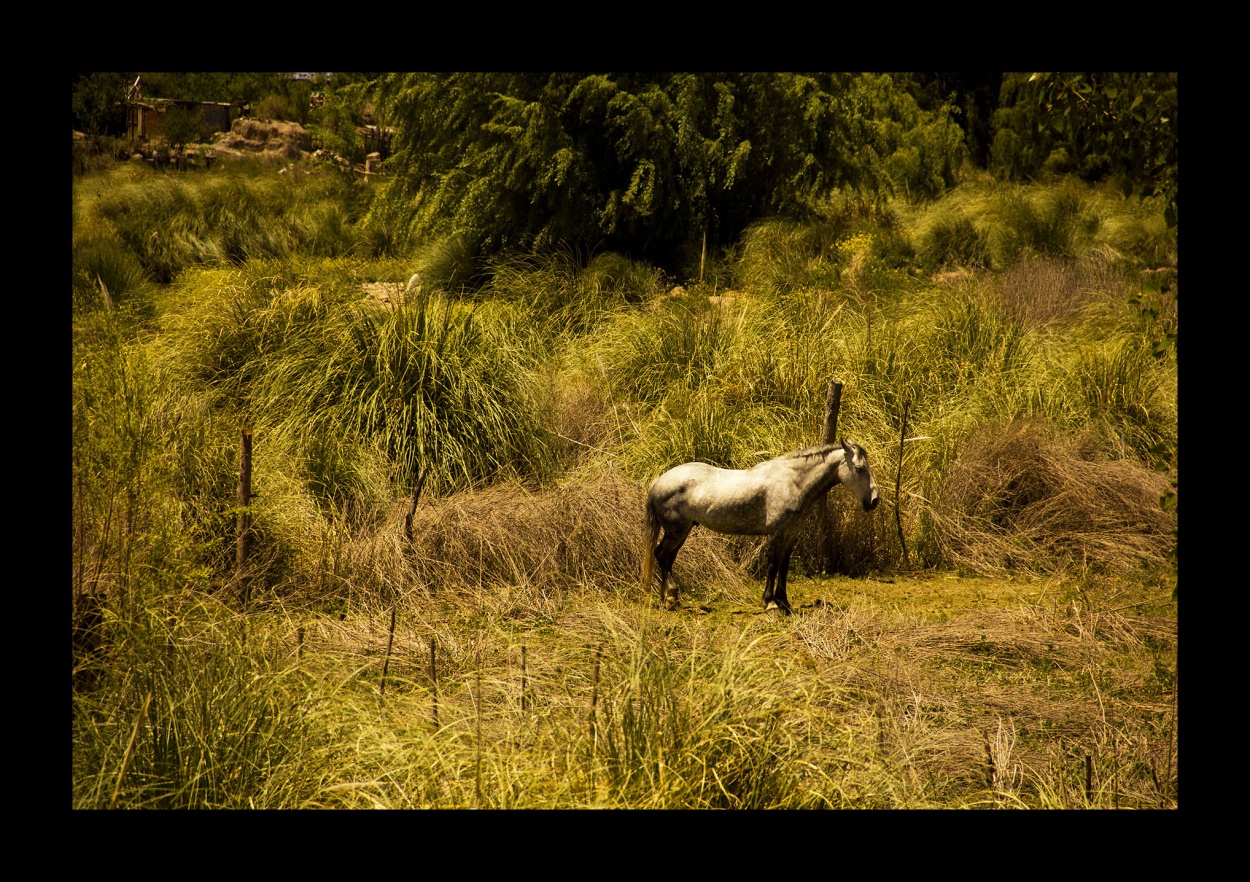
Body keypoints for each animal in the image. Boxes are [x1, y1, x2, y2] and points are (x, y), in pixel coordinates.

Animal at [645, 437, 880, 612]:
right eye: (859, 468)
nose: (874, 500)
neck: (793, 482)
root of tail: (658, 482)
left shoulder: (790, 534)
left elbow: (784, 567)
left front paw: (784, 602)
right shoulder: (776, 534)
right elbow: (772, 565)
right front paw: (770, 603)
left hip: (681, 531)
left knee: (667, 558)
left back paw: (668, 598)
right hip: (676, 531)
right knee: (662, 556)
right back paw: (670, 598)